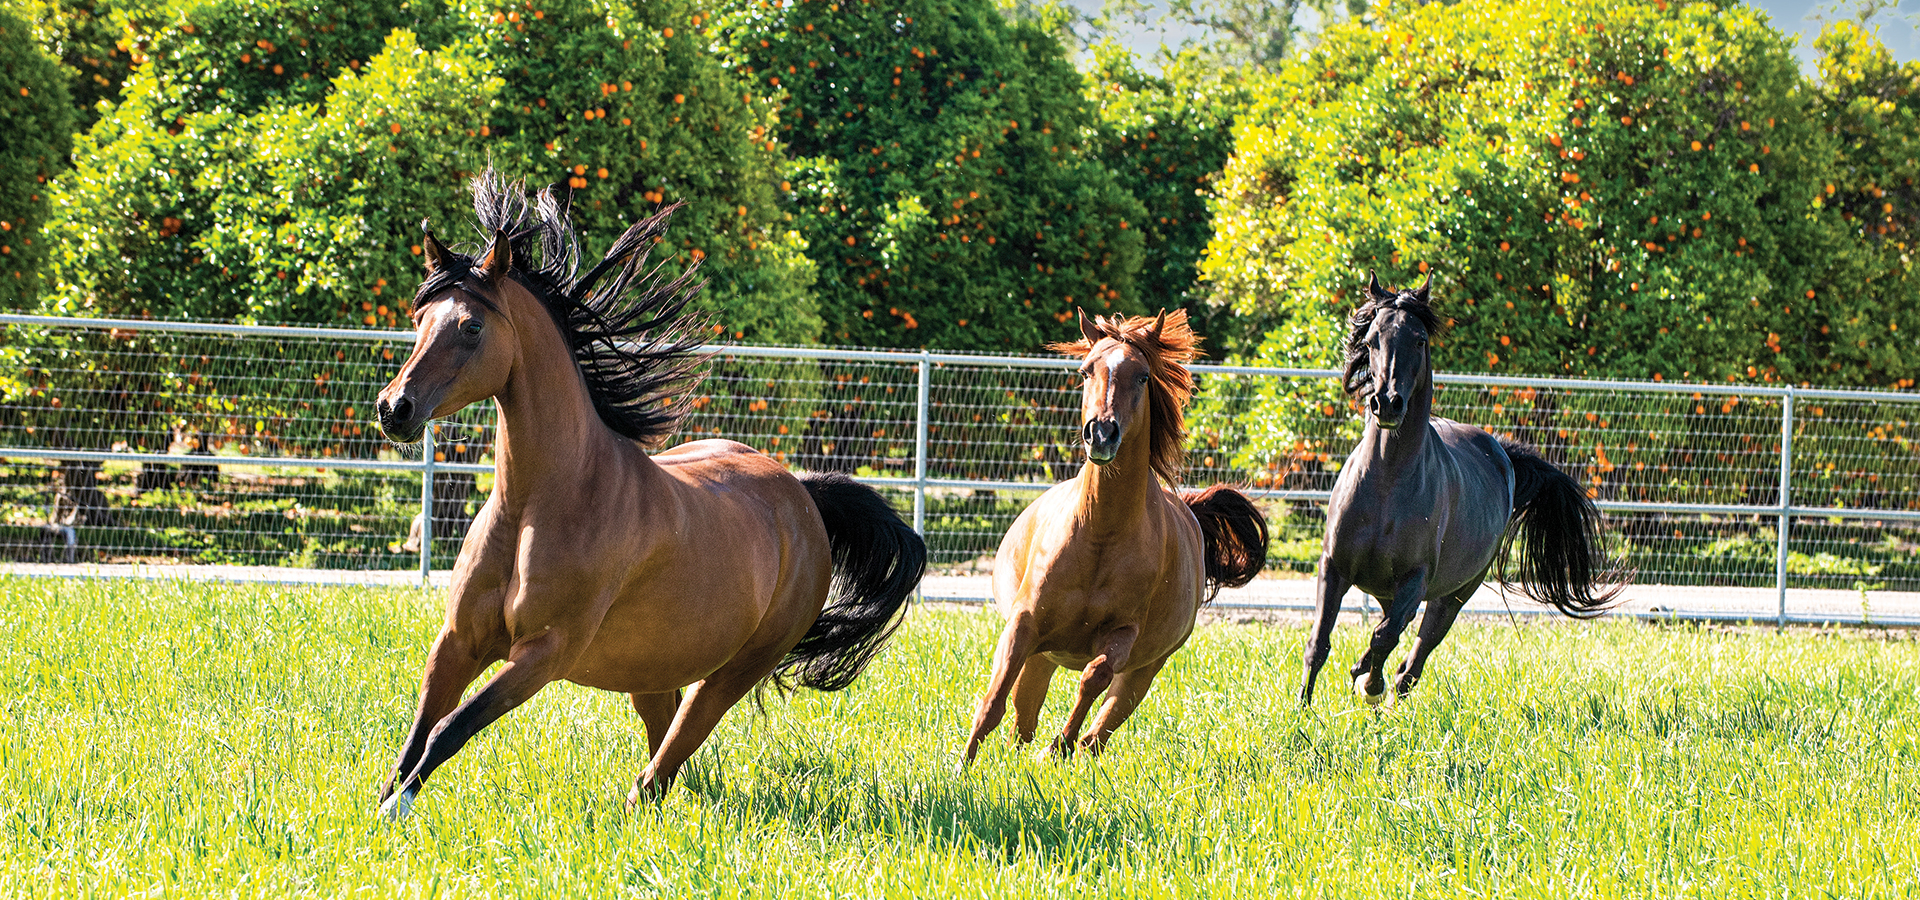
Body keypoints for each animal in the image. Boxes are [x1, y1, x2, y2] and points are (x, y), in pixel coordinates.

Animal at [370, 169, 925, 813]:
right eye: (419, 320)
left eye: (472, 326)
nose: (395, 409)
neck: (540, 502)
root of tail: (804, 499)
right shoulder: (457, 641)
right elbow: (416, 734)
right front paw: (382, 807)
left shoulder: (544, 652)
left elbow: (447, 729)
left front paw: (398, 808)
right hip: (651, 672)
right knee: (667, 753)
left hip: (735, 671)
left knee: (669, 759)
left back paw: (638, 805)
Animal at [960, 310, 1274, 763]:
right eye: (1085, 370)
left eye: (1143, 376)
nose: (1101, 433)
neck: (1100, 534)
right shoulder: (1024, 622)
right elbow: (995, 698)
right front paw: (962, 766)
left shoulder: (1123, 634)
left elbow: (1094, 676)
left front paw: (1059, 746)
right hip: (1042, 657)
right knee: (1022, 722)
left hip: (1144, 672)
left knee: (1097, 732)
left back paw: (1065, 748)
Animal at [1297, 270, 1628, 706]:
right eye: (1370, 341)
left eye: (1419, 340)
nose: (1387, 403)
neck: (1386, 485)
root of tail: (1502, 453)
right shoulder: (1333, 567)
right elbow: (1319, 642)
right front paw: (1302, 708)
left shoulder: (1416, 580)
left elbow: (1385, 636)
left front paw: (1368, 685)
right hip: (1393, 590)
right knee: (1395, 640)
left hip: (1453, 596)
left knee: (1411, 662)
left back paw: (1379, 686)